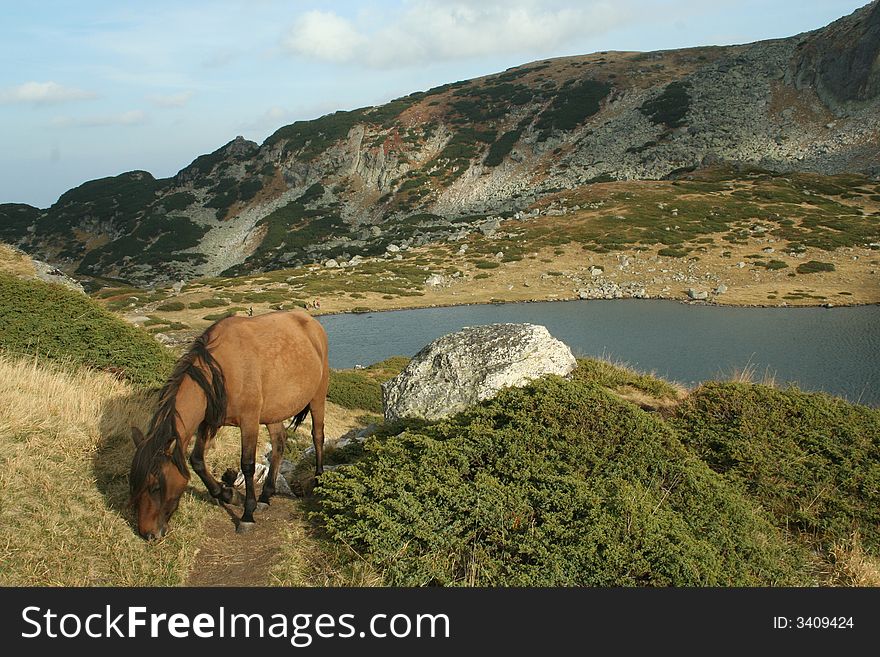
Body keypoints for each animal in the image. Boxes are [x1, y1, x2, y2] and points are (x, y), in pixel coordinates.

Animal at [126, 312, 326, 540]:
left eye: (155, 486)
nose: (148, 534)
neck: (220, 369)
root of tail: (310, 321)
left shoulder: (249, 421)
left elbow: (247, 465)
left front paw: (247, 514)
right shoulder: (209, 421)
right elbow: (197, 460)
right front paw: (229, 495)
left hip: (318, 396)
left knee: (317, 435)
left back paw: (318, 479)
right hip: (273, 412)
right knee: (279, 444)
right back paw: (266, 495)